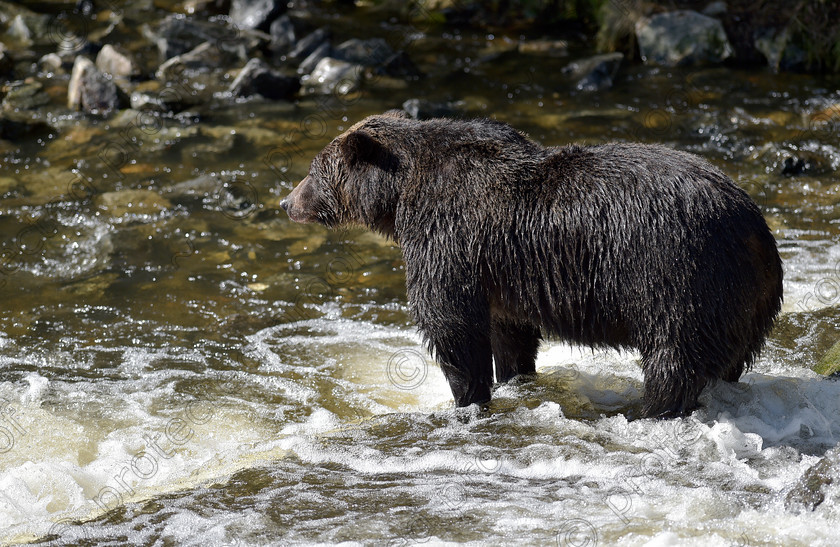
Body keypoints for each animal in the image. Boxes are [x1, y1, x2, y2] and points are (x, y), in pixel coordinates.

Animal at [278, 111, 784, 420]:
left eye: (313, 169)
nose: (286, 202)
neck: (401, 194)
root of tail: (754, 225)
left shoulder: (448, 239)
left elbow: (449, 323)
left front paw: (466, 397)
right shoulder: (500, 270)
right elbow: (509, 330)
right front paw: (514, 376)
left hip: (680, 276)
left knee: (672, 358)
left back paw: (651, 409)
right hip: (747, 300)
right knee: (730, 359)